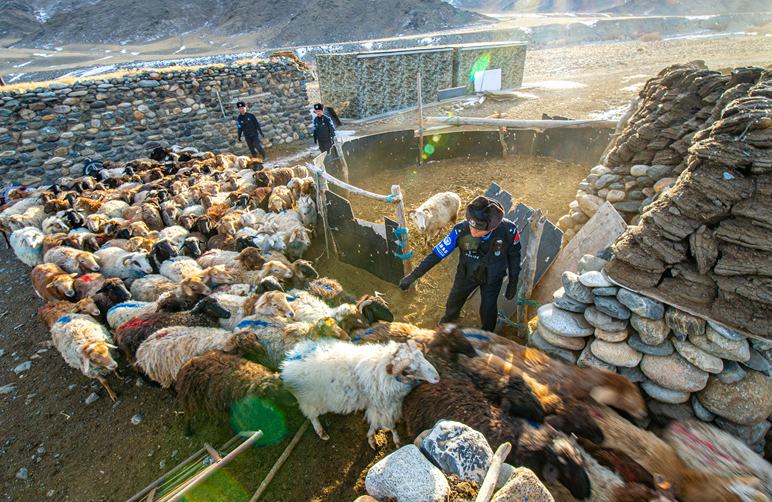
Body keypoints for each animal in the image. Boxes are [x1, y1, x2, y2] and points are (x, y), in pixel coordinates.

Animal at [282, 338, 440, 448]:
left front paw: (371, 438)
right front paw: (395, 440)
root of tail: (288, 363)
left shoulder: (376, 407)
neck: (381, 369)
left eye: (422, 356)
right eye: (410, 369)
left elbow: (374, 423)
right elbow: (390, 425)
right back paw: (322, 432)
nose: (437, 377)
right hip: (311, 401)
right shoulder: (384, 407)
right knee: (312, 416)